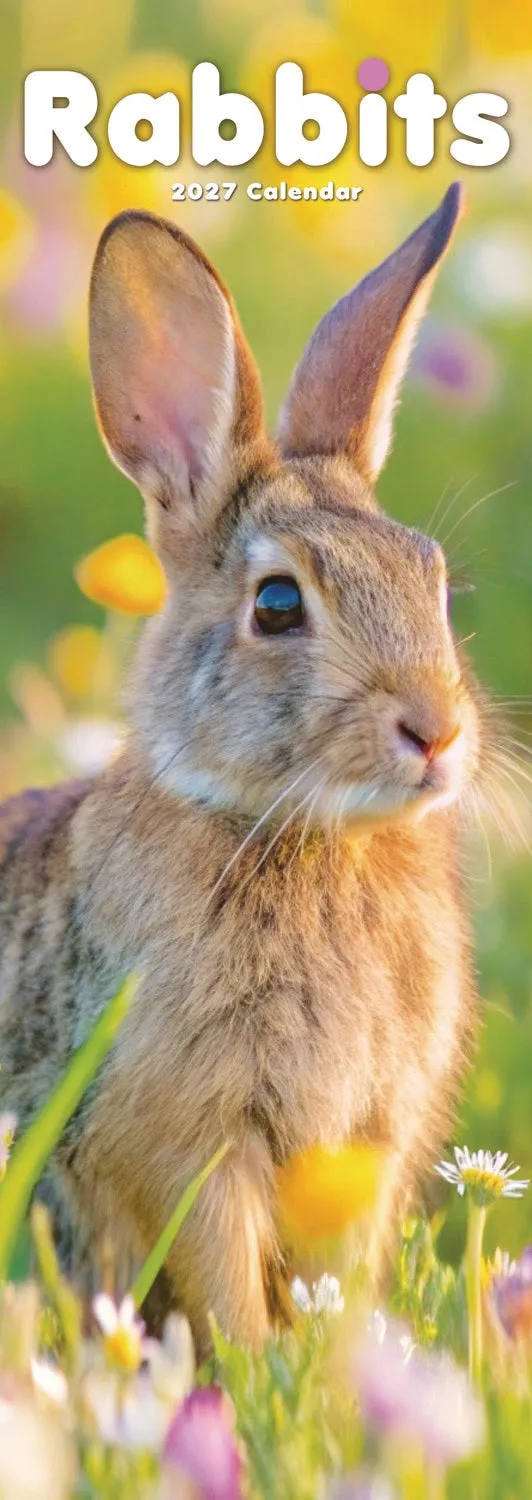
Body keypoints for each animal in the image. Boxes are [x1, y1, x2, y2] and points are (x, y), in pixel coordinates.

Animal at [0, 181, 483, 1352]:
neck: (302, 834)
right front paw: (262, 1377)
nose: (436, 730)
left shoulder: (361, 1148)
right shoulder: (191, 1144)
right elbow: (225, 1288)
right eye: (275, 605)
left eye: (434, 582)